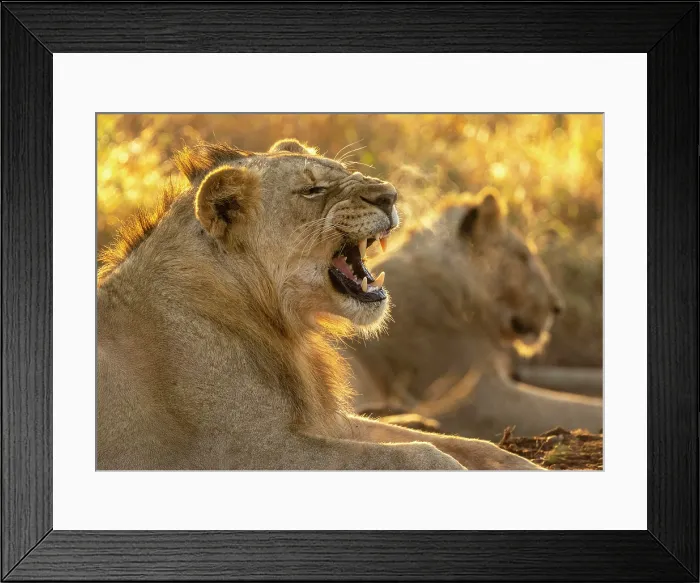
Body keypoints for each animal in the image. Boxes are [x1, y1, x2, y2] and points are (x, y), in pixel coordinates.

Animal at [97, 139, 540, 470]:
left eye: (343, 172)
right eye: (313, 190)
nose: (390, 195)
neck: (279, 324)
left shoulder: (325, 420)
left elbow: (464, 443)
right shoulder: (244, 450)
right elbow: (418, 455)